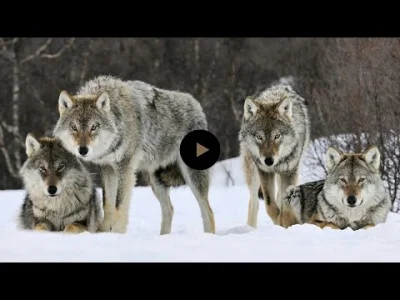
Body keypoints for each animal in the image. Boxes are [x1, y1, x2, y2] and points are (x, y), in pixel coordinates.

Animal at [53, 75, 216, 234]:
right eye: (74, 127)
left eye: (94, 127)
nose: (83, 150)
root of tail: (196, 105)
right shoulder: (107, 168)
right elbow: (108, 203)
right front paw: (104, 232)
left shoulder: (125, 168)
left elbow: (119, 204)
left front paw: (117, 233)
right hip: (155, 181)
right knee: (169, 210)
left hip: (192, 178)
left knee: (208, 211)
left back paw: (208, 236)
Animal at [239, 83, 310, 229]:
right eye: (259, 137)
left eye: (277, 136)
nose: (269, 161)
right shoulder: (265, 171)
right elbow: (270, 205)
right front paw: (279, 221)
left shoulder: (289, 172)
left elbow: (283, 204)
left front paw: (284, 222)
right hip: (253, 173)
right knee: (254, 202)